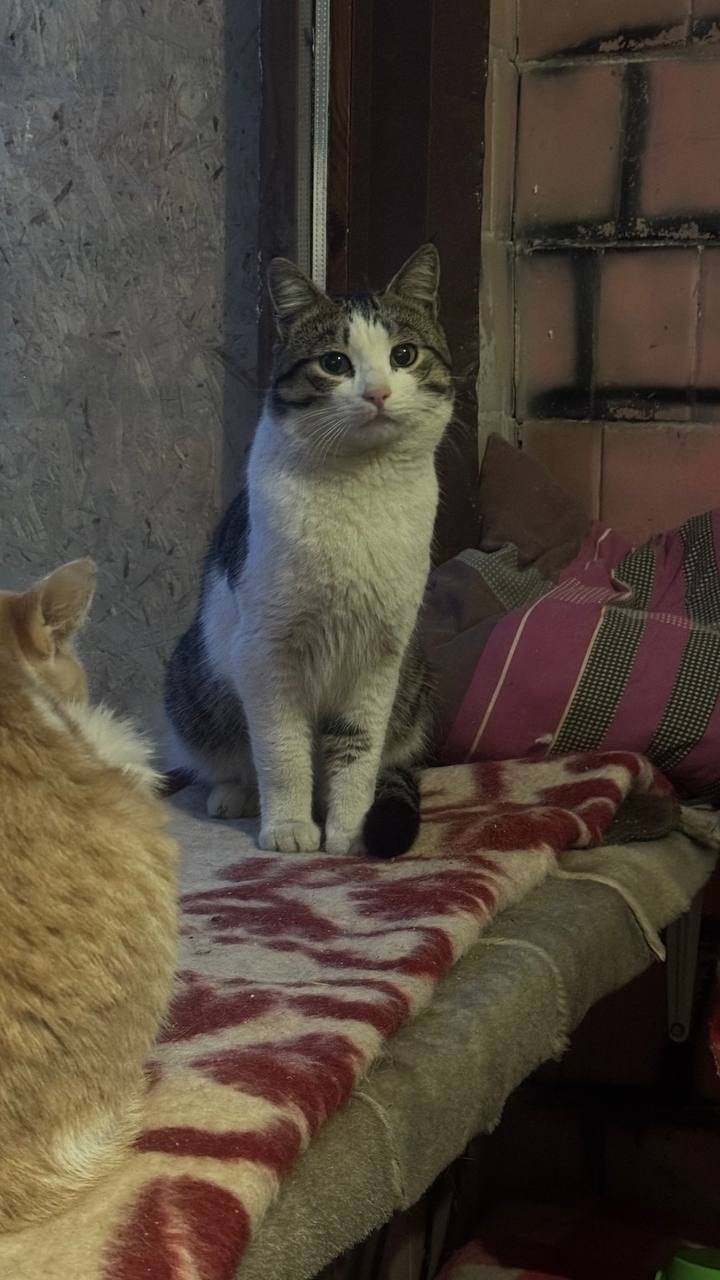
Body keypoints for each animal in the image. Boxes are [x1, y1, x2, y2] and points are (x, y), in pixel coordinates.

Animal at [164, 243, 454, 858]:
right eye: (335, 363)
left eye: (403, 355)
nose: (378, 393)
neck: (358, 490)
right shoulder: (267, 652)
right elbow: (283, 752)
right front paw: (290, 829)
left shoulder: (379, 655)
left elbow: (358, 751)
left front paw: (348, 832)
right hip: (192, 682)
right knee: (230, 762)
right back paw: (234, 797)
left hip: (415, 679)